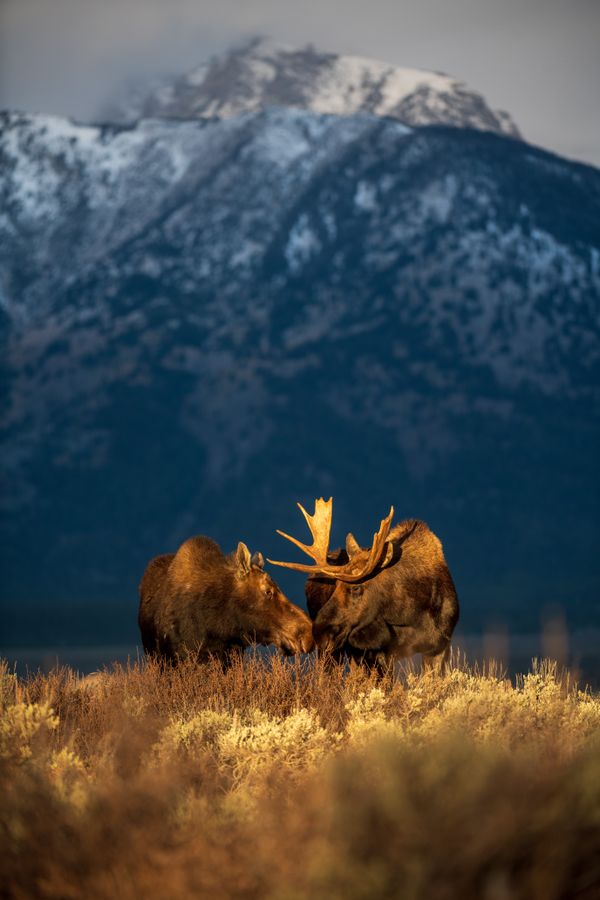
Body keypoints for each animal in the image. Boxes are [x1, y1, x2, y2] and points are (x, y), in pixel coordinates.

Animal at [268, 496, 460, 672]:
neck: (410, 614)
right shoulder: (377, 655)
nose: (318, 632)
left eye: (355, 587)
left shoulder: (439, 649)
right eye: (336, 585)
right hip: (333, 654)